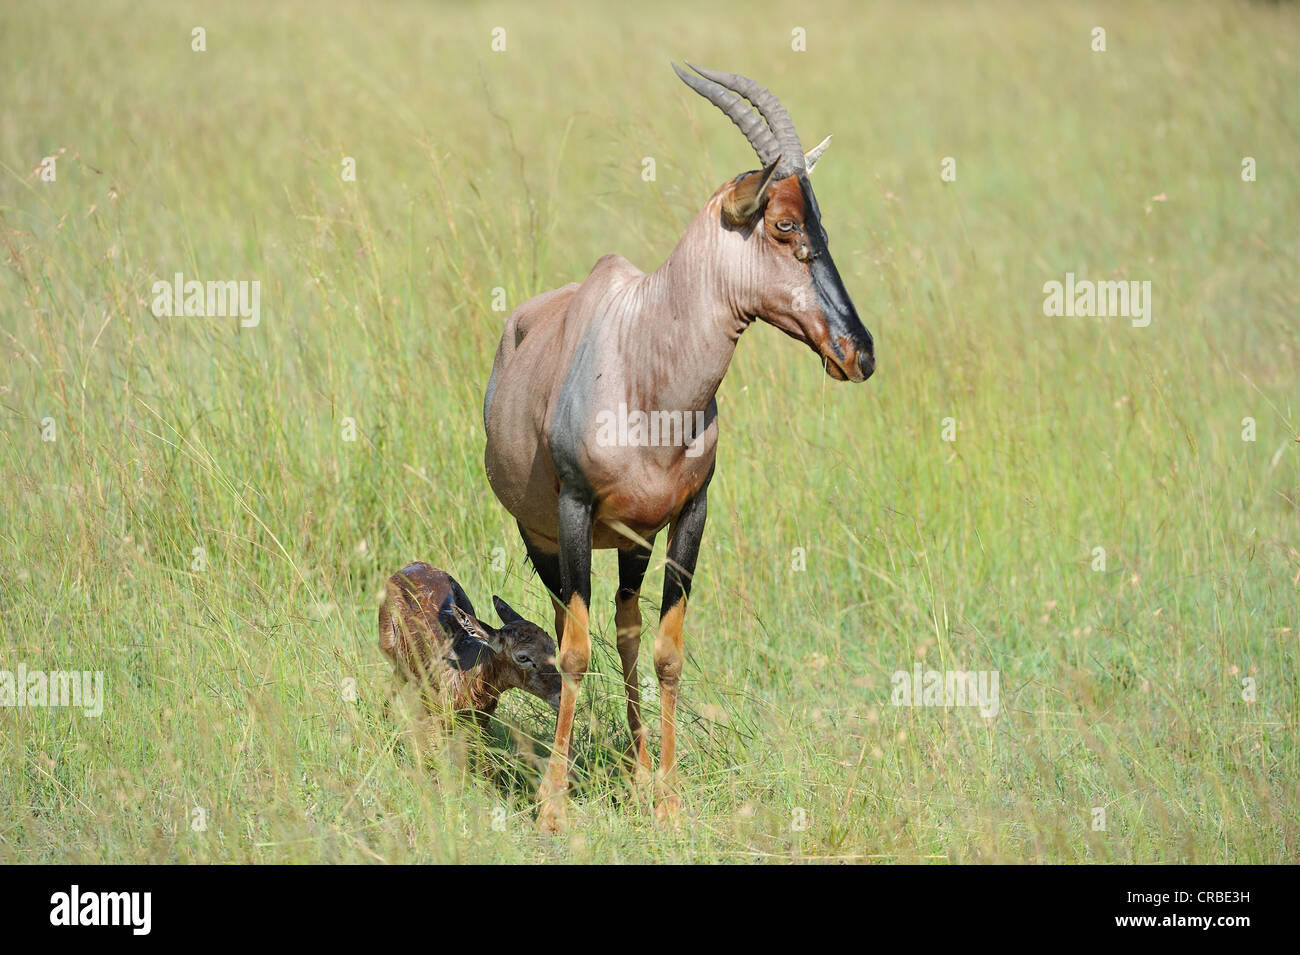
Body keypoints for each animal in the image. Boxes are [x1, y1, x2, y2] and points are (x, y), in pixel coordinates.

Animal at [480, 63, 873, 831]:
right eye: (783, 223)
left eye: (820, 222)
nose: (859, 353)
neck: (643, 354)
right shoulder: (574, 510)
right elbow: (573, 653)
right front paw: (553, 807)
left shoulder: (691, 515)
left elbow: (666, 651)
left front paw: (665, 797)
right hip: (541, 535)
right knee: (563, 624)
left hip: (632, 540)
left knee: (627, 628)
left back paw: (635, 771)